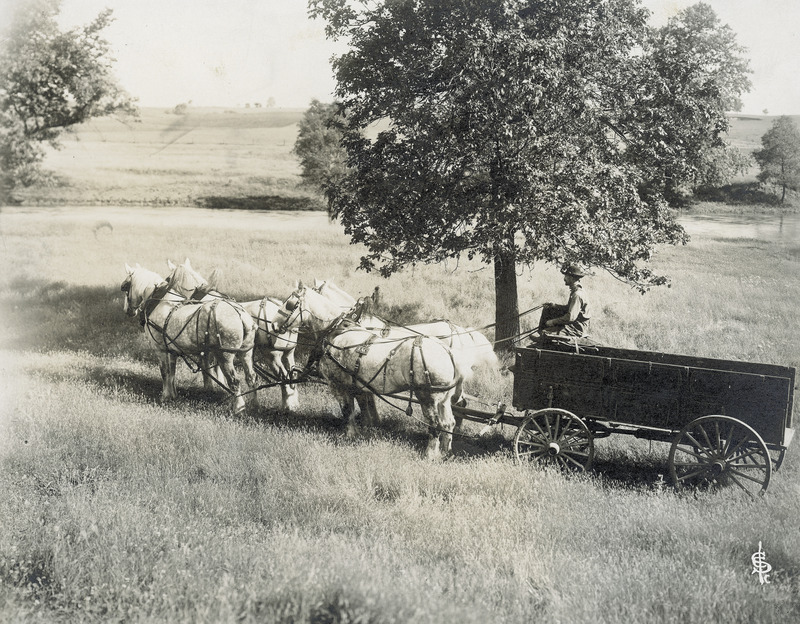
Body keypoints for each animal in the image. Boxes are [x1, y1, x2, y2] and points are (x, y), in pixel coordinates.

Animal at [122, 264, 256, 414]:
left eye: (125, 286)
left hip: (225, 356)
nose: (127, 310)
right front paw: (173, 395)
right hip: (246, 352)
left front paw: (165, 396)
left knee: (234, 380)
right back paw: (254, 404)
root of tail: (241, 314)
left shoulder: (160, 349)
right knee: (251, 376)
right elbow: (172, 372)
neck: (159, 303)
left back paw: (238, 408)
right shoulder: (172, 351)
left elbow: (164, 372)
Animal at [282, 284, 468, 458]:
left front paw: (350, 435)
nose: (278, 326)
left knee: (435, 424)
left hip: (427, 396)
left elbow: (347, 409)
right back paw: (445, 451)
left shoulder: (338, 384)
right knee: (448, 422)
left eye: (290, 304)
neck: (337, 332)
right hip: (443, 398)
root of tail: (447, 351)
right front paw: (367, 428)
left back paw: (430, 454)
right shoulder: (357, 384)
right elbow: (362, 406)